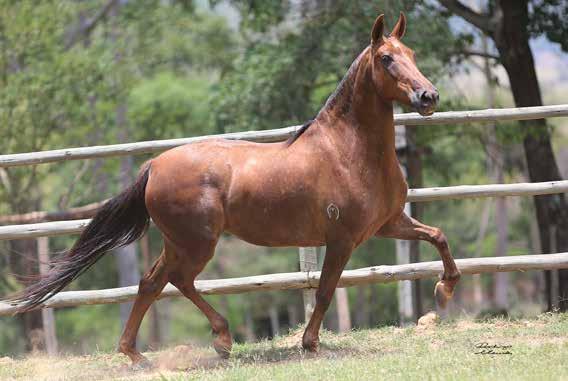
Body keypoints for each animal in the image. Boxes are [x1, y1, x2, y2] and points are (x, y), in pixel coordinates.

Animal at [7, 12, 462, 366]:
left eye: (412, 55)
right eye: (386, 59)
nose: (428, 96)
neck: (348, 152)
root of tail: (154, 166)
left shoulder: (389, 223)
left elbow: (439, 236)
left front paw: (442, 292)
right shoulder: (342, 239)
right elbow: (325, 291)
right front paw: (310, 344)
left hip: (178, 242)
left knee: (153, 283)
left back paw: (140, 353)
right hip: (196, 243)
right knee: (176, 281)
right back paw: (216, 341)